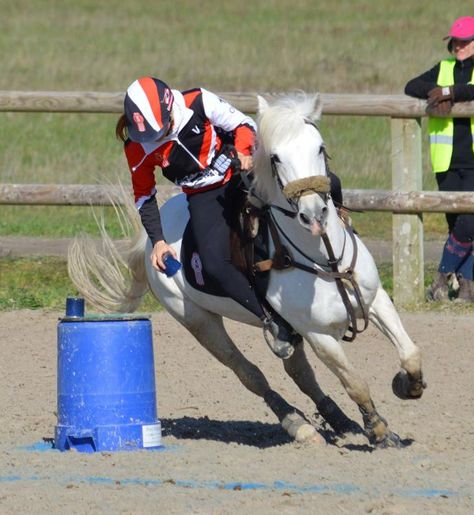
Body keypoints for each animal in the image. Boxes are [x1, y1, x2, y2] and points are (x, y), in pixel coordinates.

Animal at [69, 94, 426, 450]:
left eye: (320, 147)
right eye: (276, 157)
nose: (314, 214)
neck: (324, 259)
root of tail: (151, 242)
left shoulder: (375, 299)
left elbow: (410, 353)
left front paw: (406, 386)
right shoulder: (317, 335)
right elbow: (354, 381)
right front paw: (379, 431)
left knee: (299, 372)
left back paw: (341, 422)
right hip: (198, 321)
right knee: (251, 374)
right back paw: (299, 425)